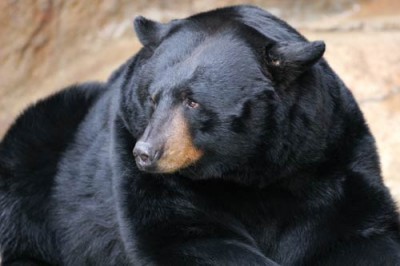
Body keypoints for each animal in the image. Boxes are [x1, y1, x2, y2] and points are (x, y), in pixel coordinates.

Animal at [0, 4, 400, 266]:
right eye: (152, 97)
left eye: (192, 101)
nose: (146, 153)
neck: (247, 172)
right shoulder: (135, 155)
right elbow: (188, 236)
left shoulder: (326, 155)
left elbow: (359, 232)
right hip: (43, 142)